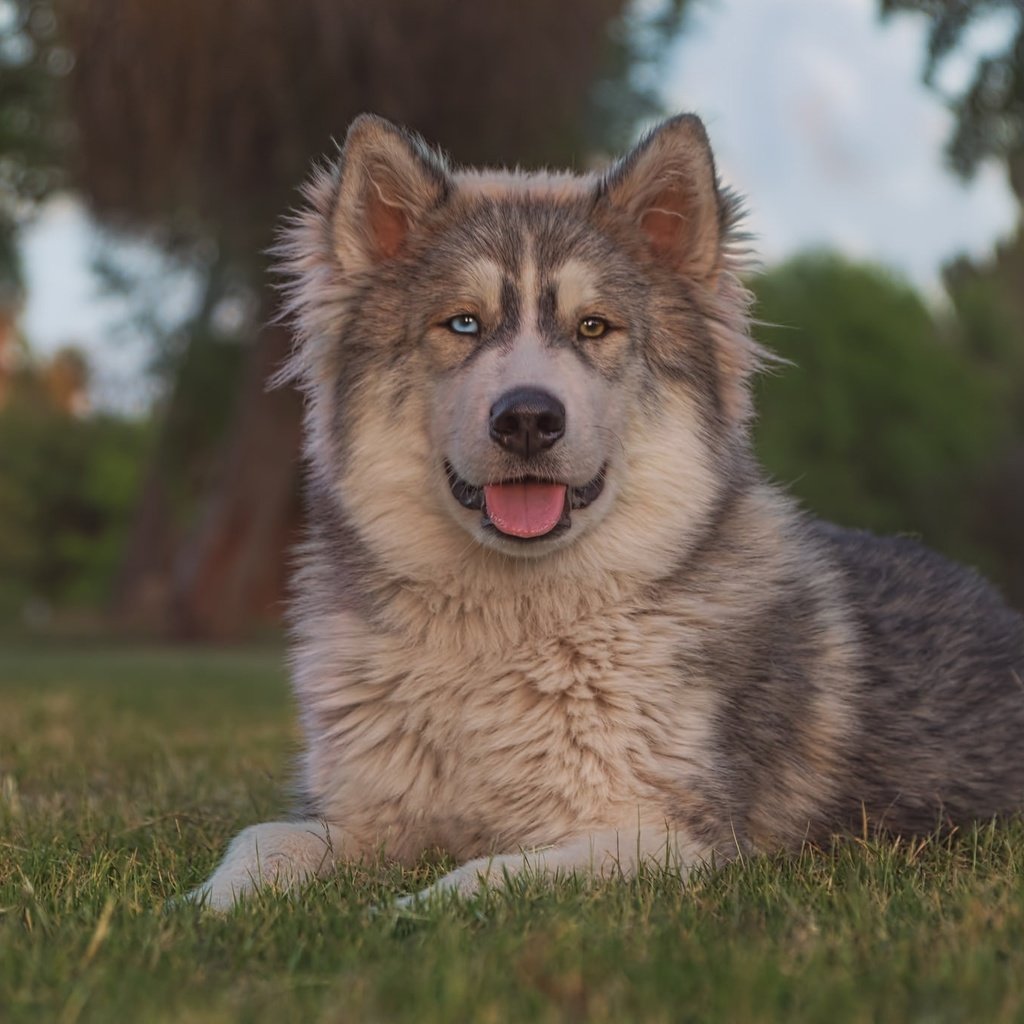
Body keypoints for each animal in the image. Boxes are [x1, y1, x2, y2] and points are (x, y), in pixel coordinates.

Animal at [190, 114, 1024, 913]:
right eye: (463, 324)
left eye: (593, 326)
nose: (527, 418)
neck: (507, 634)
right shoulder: (356, 811)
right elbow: (261, 841)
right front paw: (209, 908)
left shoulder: (672, 840)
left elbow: (487, 876)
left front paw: (400, 913)